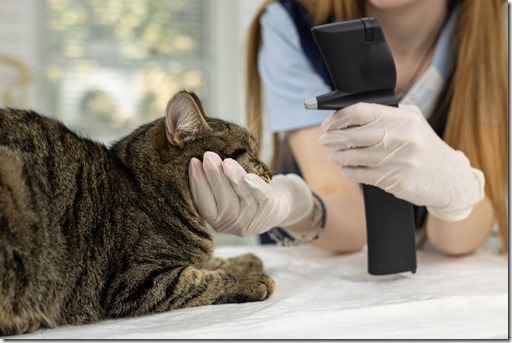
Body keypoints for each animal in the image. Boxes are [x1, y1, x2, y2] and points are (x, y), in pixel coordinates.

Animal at [0, 90, 276, 336]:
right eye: (249, 154)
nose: (270, 172)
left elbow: (209, 261)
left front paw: (245, 261)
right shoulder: (136, 280)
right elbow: (198, 279)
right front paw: (250, 279)